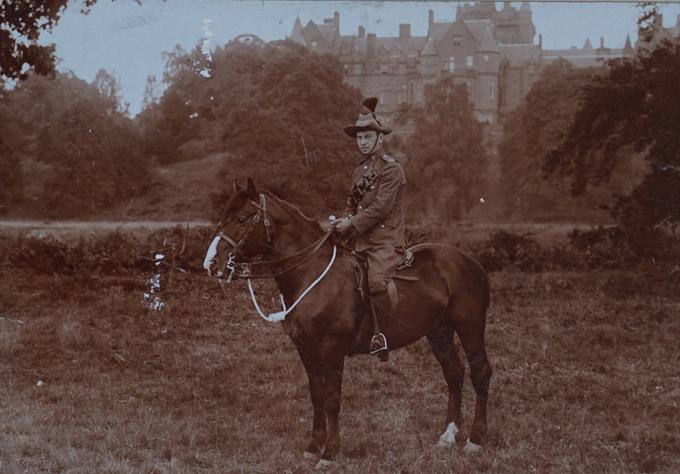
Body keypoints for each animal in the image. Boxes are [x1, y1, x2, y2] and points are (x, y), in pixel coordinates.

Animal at [199, 179, 492, 470]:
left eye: (241, 218)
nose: (211, 263)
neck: (313, 274)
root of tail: (470, 262)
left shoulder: (332, 349)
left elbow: (331, 399)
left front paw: (329, 453)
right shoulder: (306, 349)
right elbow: (316, 395)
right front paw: (313, 447)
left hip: (470, 327)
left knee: (480, 373)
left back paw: (475, 440)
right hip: (438, 332)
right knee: (454, 374)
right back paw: (448, 435)